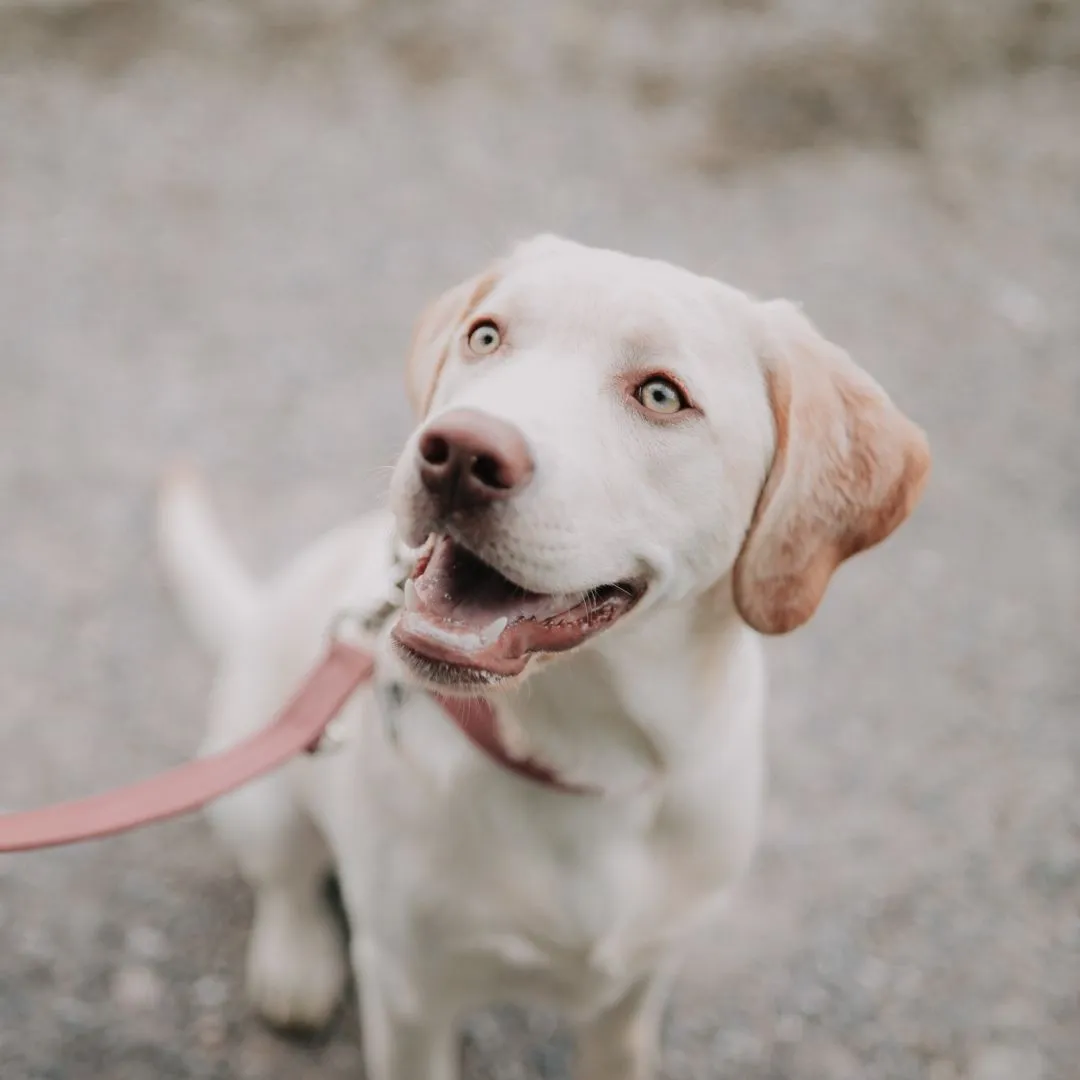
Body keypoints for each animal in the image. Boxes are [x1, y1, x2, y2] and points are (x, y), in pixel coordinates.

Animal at [157, 236, 928, 1080]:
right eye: (486, 336)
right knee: (287, 878)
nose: (458, 452)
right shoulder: (409, 993)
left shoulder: (637, 988)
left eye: (662, 396)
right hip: (257, 792)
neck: (590, 759)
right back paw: (295, 961)